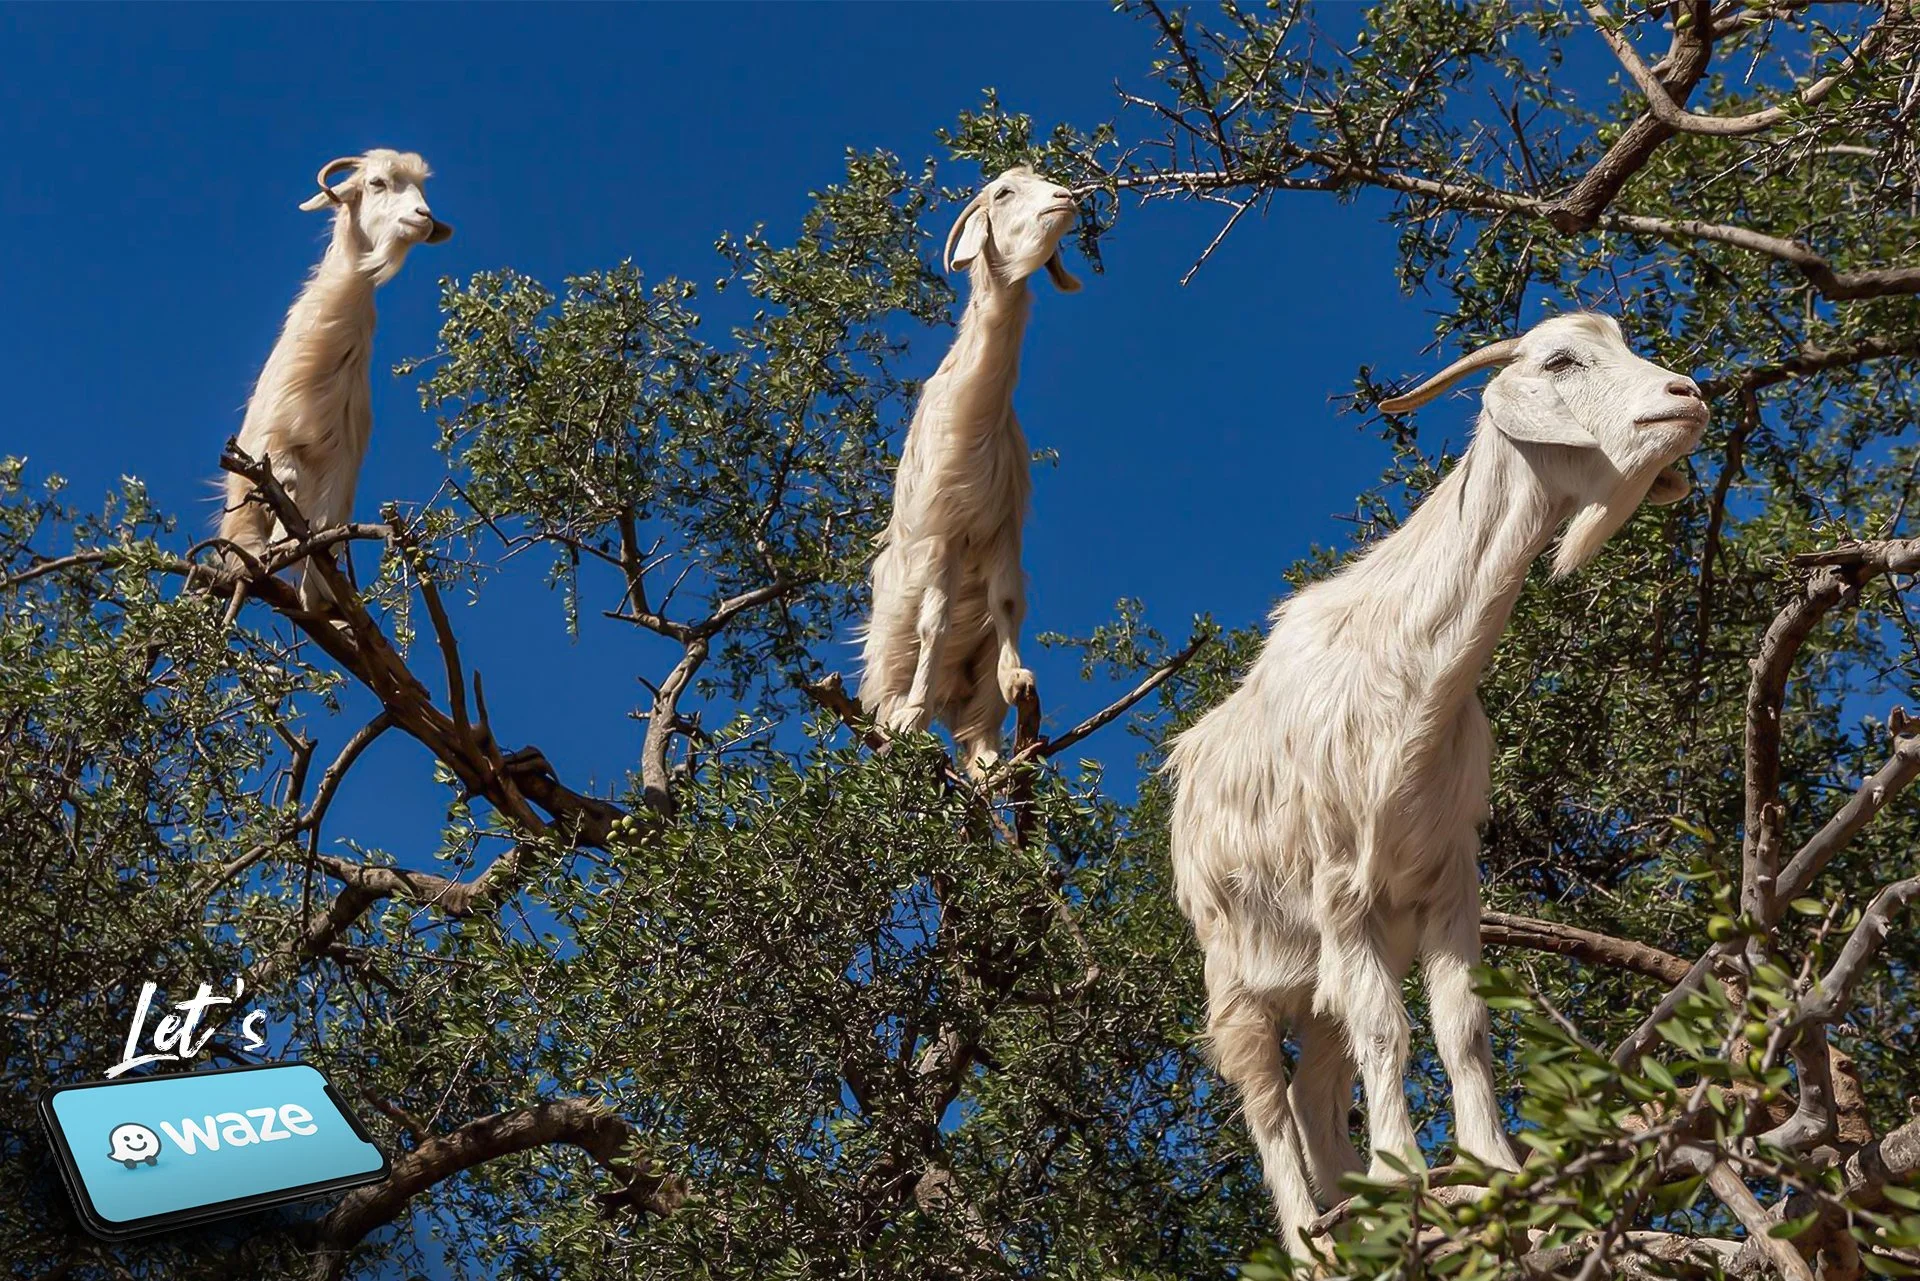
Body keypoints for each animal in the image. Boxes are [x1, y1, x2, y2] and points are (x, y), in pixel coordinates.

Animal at [219, 150, 451, 609]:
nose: (423, 217)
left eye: (422, 189)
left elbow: (322, 524)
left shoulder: (339, 465)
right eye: (377, 182)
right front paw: (282, 532)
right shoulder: (272, 441)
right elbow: (286, 476)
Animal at [857, 166, 1080, 771]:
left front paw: (1017, 678)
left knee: (978, 741)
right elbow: (933, 620)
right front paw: (913, 716)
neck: (974, 414)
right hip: (884, 673)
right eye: (1002, 193)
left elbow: (1005, 602)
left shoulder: (1000, 529)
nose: (1066, 199)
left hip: (972, 697)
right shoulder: (940, 534)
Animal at [1164, 313, 1706, 1253]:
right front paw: (1404, 1174)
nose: (1688, 396)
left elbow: (1460, 1022)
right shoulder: (1343, 887)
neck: (1412, 673)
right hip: (1236, 973)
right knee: (1266, 1103)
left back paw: (1360, 1219)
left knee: (1314, 1087)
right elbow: (1389, 1028)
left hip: (1317, 978)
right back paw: (1311, 1243)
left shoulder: (1447, 875)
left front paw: (1486, 1166)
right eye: (1562, 360)